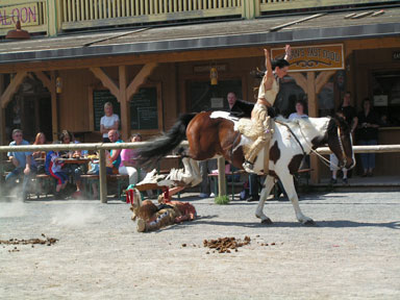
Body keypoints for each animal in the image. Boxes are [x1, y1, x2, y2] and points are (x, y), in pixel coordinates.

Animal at [137, 111, 354, 224]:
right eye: (344, 137)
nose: (350, 163)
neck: (294, 137)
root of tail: (198, 115)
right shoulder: (285, 173)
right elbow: (293, 195)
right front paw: (303, 217)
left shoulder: (273, 174)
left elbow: (264, 194)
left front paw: (261, 215)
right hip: (202, 151)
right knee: (182, 152)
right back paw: (178, 179)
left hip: (210, 153)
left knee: (187, 159)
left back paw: (178, 181)